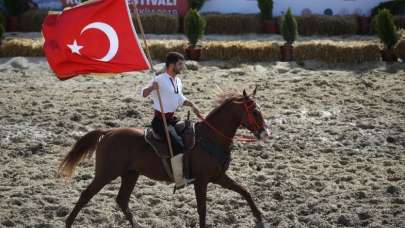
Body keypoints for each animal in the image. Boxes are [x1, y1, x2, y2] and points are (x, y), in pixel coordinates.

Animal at [59, 88, 268, 227]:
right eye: (255, 111)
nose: (265, 133)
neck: (210, 137)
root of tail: (108, 132)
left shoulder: (218, 177)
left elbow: (244, 191)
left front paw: (259, 217)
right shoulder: (201, 181)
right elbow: (202, 209)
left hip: (130, 174)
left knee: (122, 200)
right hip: (106, 174)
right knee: (86, 195)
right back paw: (68, 223)